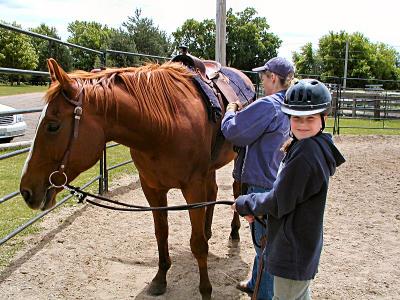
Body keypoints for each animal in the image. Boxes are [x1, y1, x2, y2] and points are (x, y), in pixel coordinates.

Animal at [20, 58, 250, 298]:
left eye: (53, 126)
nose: (25, 191)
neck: (165, 126)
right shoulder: (152, 189)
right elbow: (161, 233)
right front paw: (160, 278)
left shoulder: (193, 188)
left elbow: (197, 244)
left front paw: (205, 290)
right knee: (213, 192)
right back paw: (207, 229)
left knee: (235, 190)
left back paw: (234, 231)